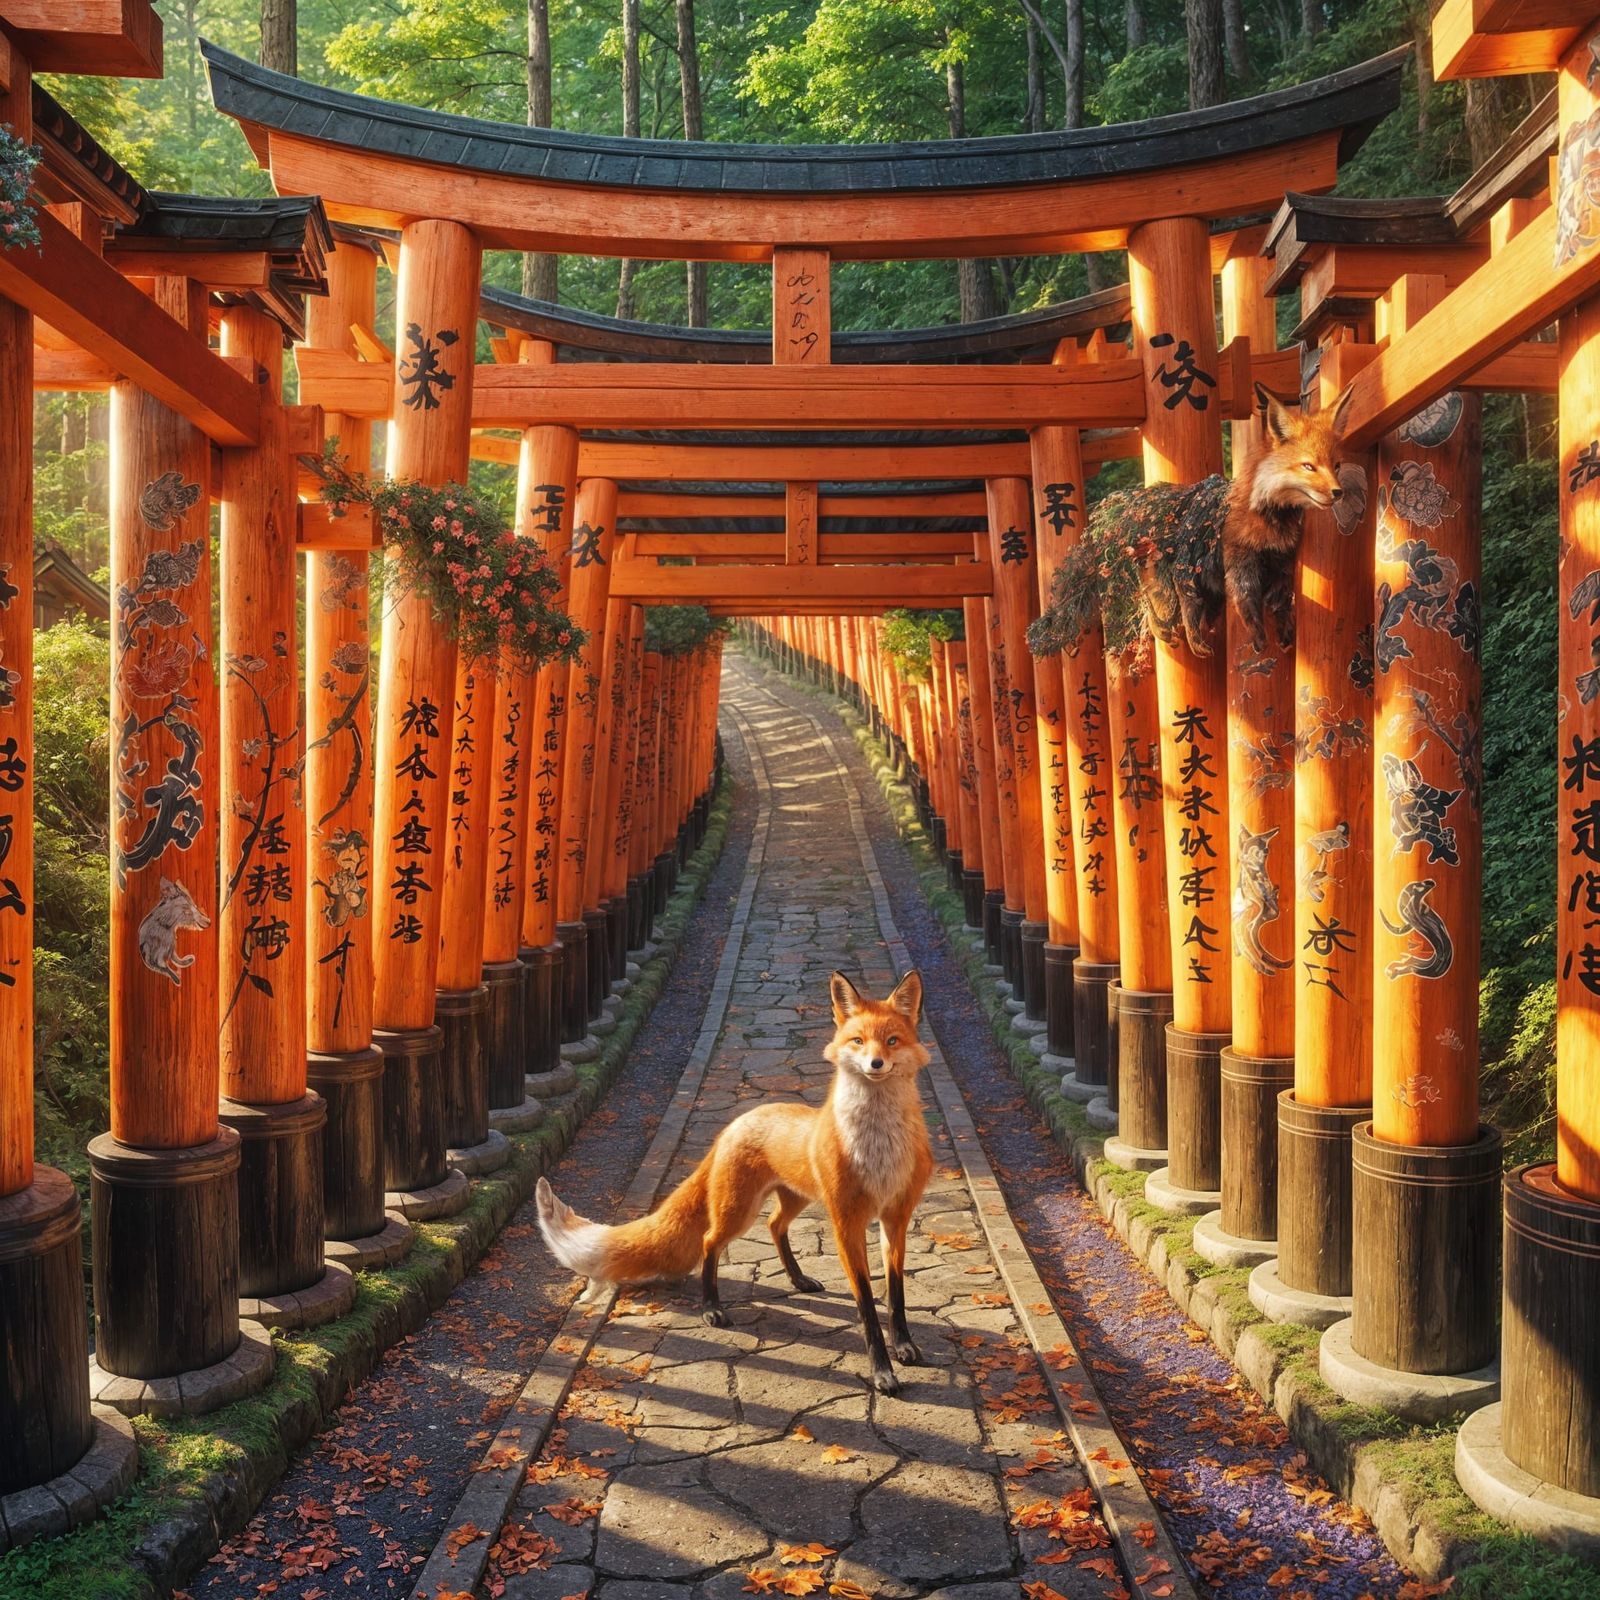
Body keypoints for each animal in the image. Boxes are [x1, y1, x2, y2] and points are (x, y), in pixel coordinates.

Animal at [536, 970, 934, 1395]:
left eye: (892, 1041)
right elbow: (866, 1306)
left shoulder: (896, 1218)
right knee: (710, 1241)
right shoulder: (847, 1223)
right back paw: (712, 1308)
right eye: (858, 1041)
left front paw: (904, 1346)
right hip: (737, 1211)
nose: (876, 1063)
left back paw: (797, 1278)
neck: (878, 1150)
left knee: (774, 1225)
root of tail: (736, 1122)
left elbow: (895, 1294)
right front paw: (882, 1372)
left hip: (794, 1200)